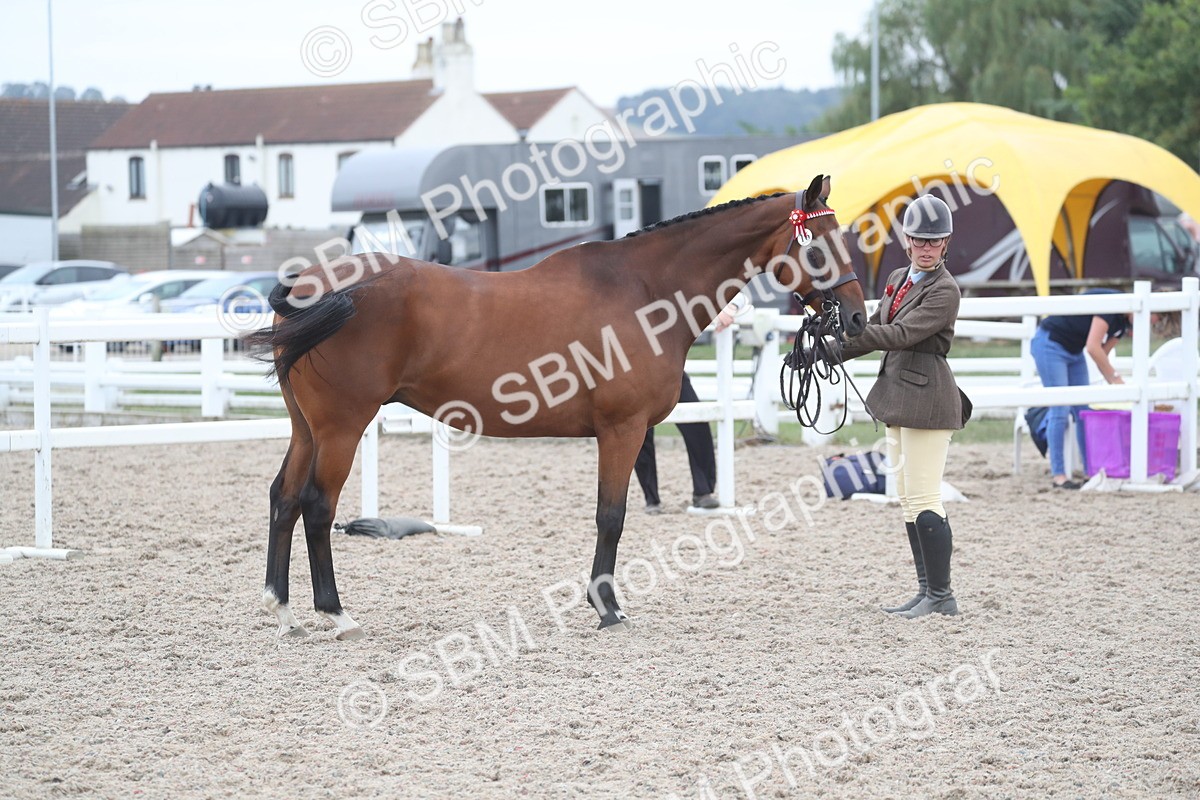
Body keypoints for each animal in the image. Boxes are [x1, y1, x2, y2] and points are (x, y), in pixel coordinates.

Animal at [247, 174, 866, 639]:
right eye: (817, 244)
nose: (858, 318)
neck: (644, 290)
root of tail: (309, 284)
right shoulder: (622, 430)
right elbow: (611, 516)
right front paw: (608, 607)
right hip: (342, 428)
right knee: (316, 506)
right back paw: (336, 614)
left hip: (306, 428)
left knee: (283, 498)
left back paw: (282, 610)